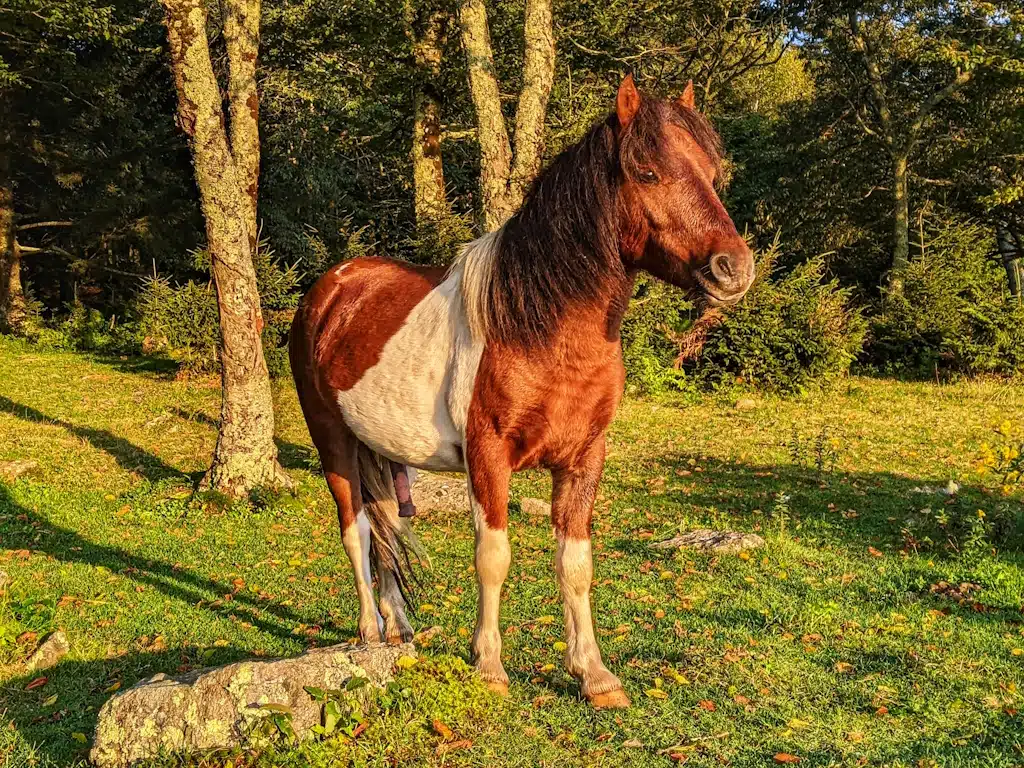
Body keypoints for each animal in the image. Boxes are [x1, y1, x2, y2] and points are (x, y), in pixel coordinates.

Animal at [288, 74, 755, 709]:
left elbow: (575, 565)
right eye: (648, 172)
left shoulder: (584, 459)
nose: (734, 268)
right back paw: (368, 631)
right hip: (332, 443)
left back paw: (400, 632)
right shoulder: (488, 458)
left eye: (712, 173)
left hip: (381, 449)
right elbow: (493, 557)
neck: (537, 327)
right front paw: (488, 666)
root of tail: (330, 290)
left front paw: (594, 674)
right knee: (356, 530)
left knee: (388, 527)